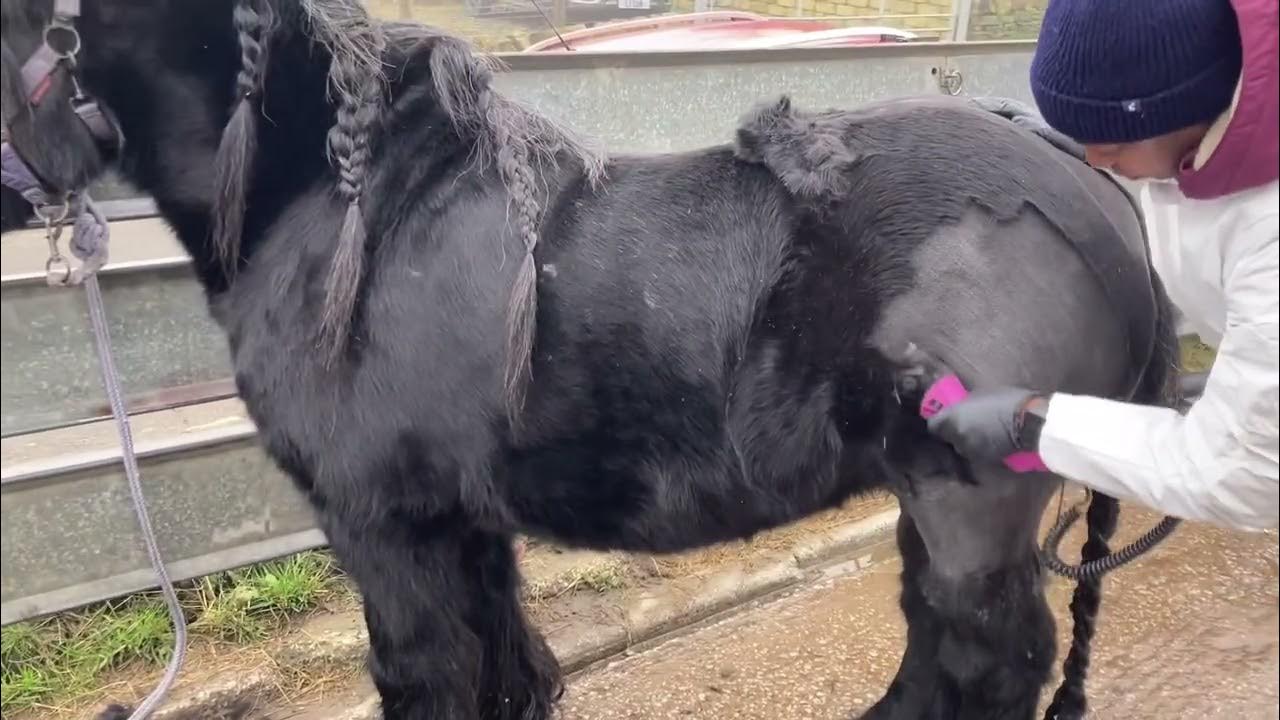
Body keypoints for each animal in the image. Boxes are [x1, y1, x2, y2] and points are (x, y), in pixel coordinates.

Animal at [0, 1, 1180, 719]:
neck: (346, 216)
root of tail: (1084, 183)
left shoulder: (382, 530)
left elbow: (423, 675)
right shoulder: (460, 528)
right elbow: (498, 664)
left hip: (969, 507)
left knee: (985, 658)